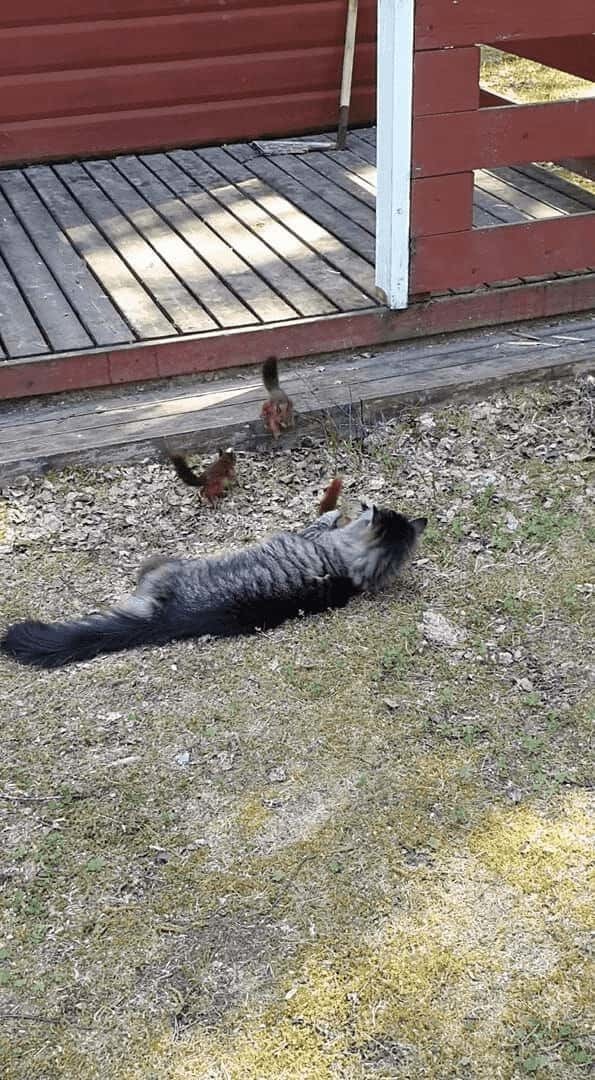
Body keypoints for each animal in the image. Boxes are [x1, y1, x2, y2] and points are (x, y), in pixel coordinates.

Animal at [1, 503, 427, 665]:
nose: (364, 504)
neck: (348, 569)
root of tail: (165, 620)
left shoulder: (313, 535)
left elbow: (320, 521)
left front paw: (336, 510)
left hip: (161, 565)